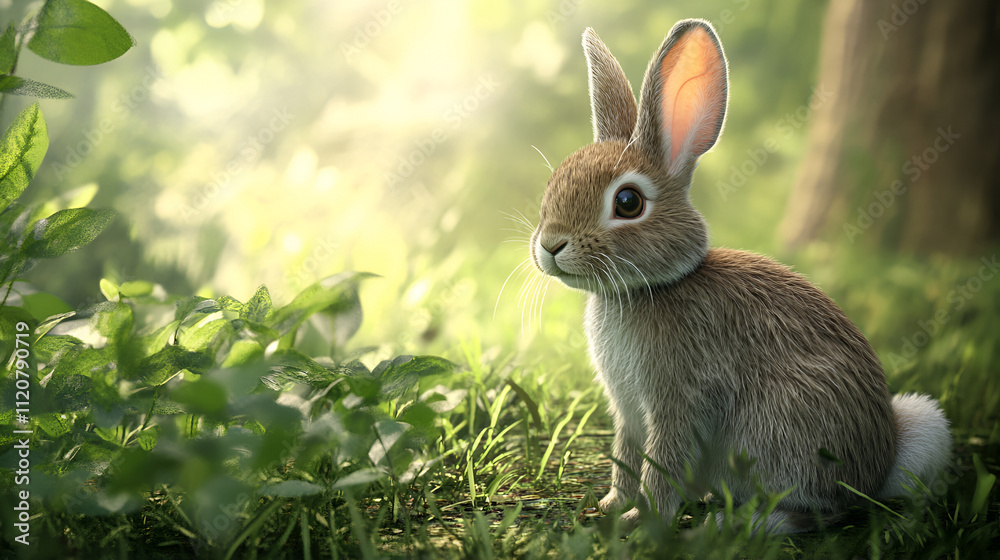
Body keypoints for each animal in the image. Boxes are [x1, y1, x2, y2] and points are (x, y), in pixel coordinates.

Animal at [529, 19, 952, 533]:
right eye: (555, 182)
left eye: (628, 202)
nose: (550, 245)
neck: (646, 289)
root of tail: (878, 469)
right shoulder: (627, 413)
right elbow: (625, 456)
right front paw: (611, 507)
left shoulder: (679, 401)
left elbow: (663, 462)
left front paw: (642, 521)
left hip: (782, 430)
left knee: (818, 512)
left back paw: (736, 524)